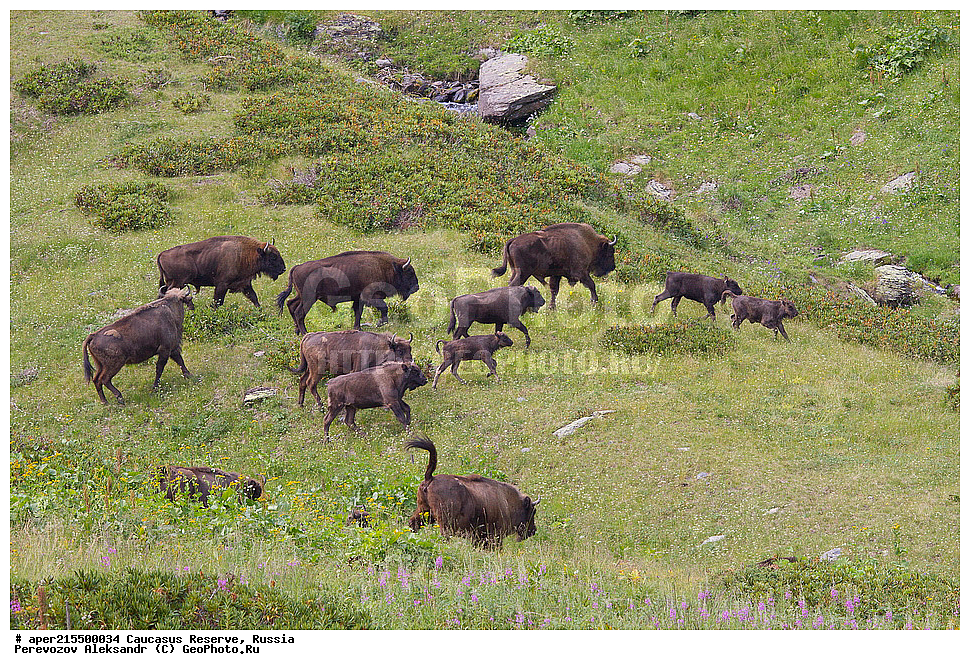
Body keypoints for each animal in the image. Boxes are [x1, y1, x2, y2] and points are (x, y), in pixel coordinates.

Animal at [157, 235, 285, 308]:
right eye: (273, 256)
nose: (283, 269)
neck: (244, 253)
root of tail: (162, 254)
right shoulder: (222, 285)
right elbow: (218, 301)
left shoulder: (245, 284)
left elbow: (254, 297)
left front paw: (260, 310)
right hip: (177, 283)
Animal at [276, 251, 419, 334]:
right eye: (409, 272)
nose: (416, 287)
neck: (388, 267)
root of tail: (296, 267)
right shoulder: (370, 297)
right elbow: (383, 308)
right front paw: (379, 323)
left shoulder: (359, 298)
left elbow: (358, 312)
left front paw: (358, 328)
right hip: (309, 298)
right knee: (299, 313)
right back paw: (305, 333)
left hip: (301, 296)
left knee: (291, 304)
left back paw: (297, 331)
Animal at [406, 436, 539, 548]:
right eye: (532, 511)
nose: (533, 531)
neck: (507, 500)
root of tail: (430, 477)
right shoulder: (495, 535)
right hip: (444, 521)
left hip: (424, 510)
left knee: (413, 523)